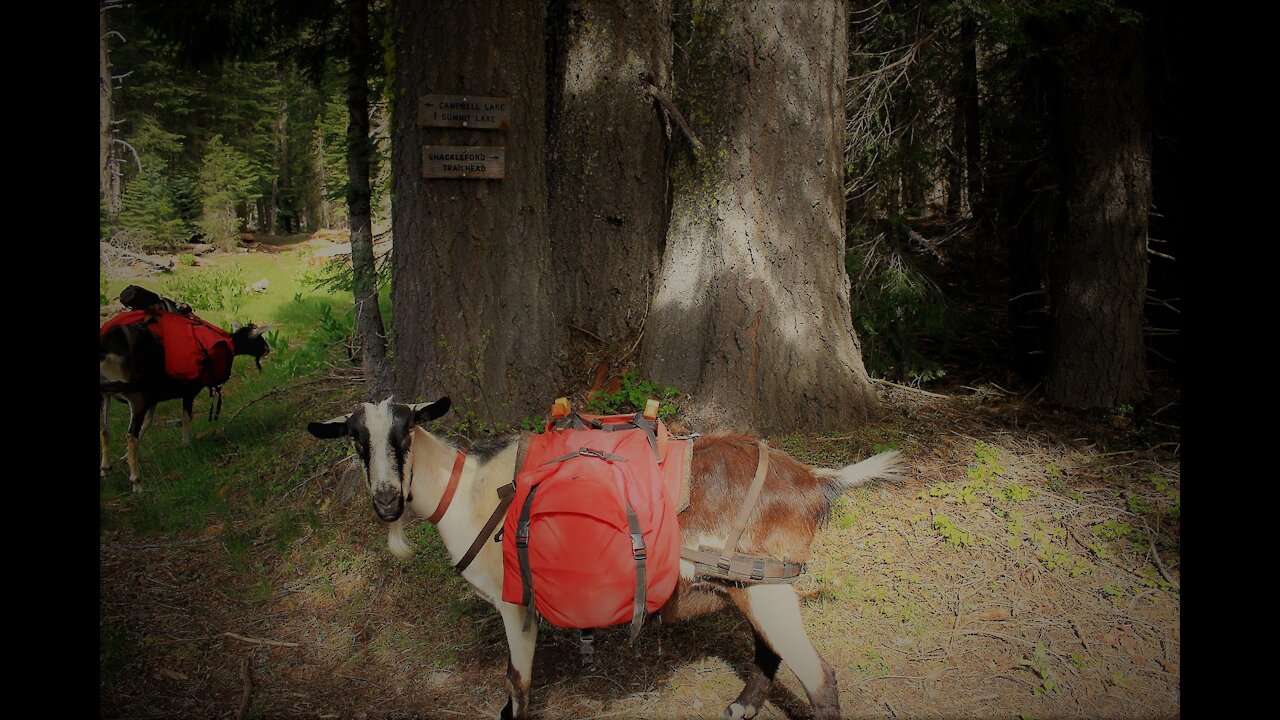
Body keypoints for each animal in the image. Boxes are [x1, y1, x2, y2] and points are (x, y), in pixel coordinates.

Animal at [103, 317, 275, 489]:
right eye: (259, 338)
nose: (268, 349)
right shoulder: (188, 391)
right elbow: (185, 418)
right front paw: (186, 444)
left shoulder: (153, 398)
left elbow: (147, 423)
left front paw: (125, 456)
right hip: (136, 395)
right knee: (130, 434)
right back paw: (136, 480)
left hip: (106, 395)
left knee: (105, 430)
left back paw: (105, 468)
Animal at [308, 394, 906, 712]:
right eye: (356, 439)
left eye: (406, 431)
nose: (386, 500)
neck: (474, 489)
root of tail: (815, 482)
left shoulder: (514, 603)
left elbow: (517, 681)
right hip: (752, 587)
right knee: (769, 651)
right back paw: (741, 705)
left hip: (768, 587)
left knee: (820, 678)